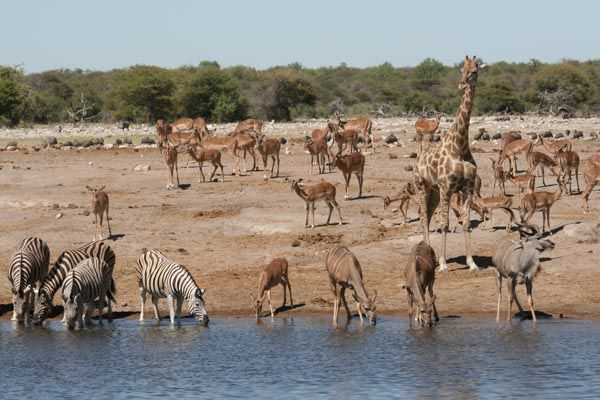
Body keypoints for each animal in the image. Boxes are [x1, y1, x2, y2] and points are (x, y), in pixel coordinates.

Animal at [414, 55, 486, 272]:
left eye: (474, 71)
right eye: (461, 69)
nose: (462, 84)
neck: (459, 146)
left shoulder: (467, 187)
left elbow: (466, 223)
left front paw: (472, 263)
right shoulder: (447, 187)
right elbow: (444, 224)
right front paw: (444, 264)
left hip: (434, 191)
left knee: (428, 215)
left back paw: (430, 254)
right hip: (421, 186)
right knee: (424, 217)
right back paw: (429, 256)